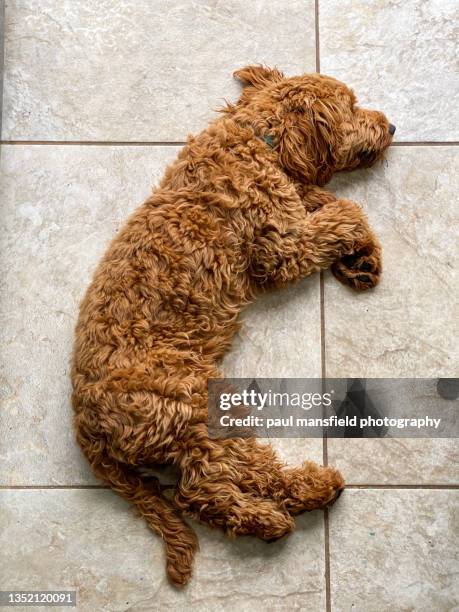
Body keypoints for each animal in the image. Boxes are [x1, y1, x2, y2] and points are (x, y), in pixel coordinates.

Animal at [71, 64, 396, 584]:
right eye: (349, 105)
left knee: (203, 489)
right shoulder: (280, 247)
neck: (258, 138)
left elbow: (318, 198)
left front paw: (361, 261)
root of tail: (86, 424)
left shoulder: (291, 205)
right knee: (207, 486)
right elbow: (340, 211)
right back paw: (296, 499)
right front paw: (354, 238)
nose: (391, 127)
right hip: (198, 404)